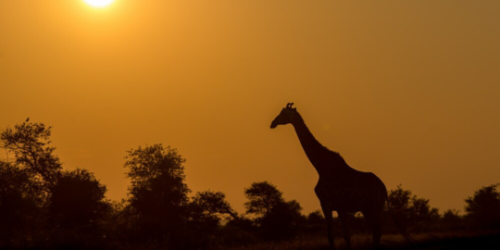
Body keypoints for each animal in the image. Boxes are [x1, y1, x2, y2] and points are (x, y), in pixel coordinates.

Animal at [272, 102, 404, 249]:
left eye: (283, 113)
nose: (273, 123)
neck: (321, 167)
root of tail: (383, 188)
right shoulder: (341, 208)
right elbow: (346, 236)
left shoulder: (326, 203)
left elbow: (331, 236)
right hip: (370, 209)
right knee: (376, 232)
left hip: (373, 207)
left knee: (377, 232)